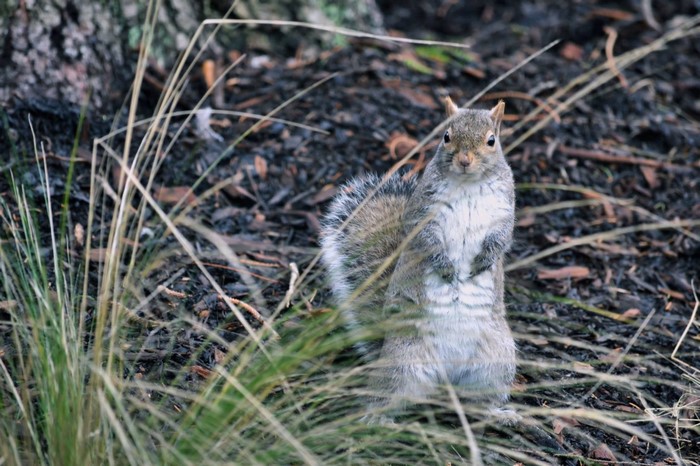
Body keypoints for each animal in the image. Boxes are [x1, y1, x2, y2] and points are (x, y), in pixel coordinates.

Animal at [320, 96, 517, 423]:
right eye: (446, 136)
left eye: (492, 140)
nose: (465, 160)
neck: (468, 185)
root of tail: (446, 378)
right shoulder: (423, 214)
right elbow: (427, 241)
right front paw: (446, 268)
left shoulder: (505, 211)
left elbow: (502, 238)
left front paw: (484, 261)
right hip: (403, 362)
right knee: (384, 395)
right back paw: (379, 420)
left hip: (495, 362)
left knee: (478, 400)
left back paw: (498, 413)